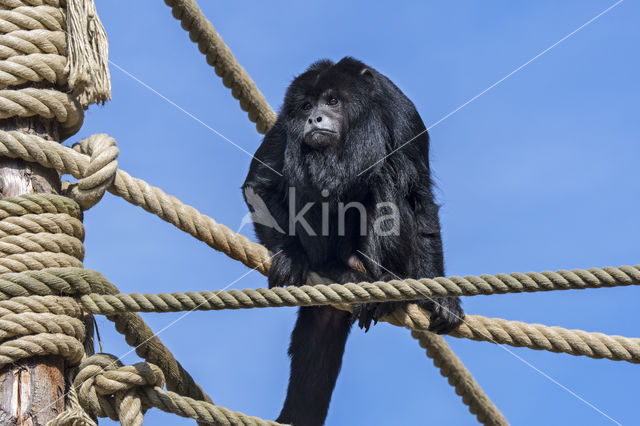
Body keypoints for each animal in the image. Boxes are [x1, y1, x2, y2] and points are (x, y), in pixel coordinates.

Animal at [242, 57, 462, 426]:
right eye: (305, 106)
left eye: (332, 101)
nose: (314, 118)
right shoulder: (285, 122)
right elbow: (260, 183)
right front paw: (289, 255)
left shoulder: (401, 113)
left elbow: (418, 197)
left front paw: (442, 297)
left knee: (388, 178)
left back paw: (379, 281)